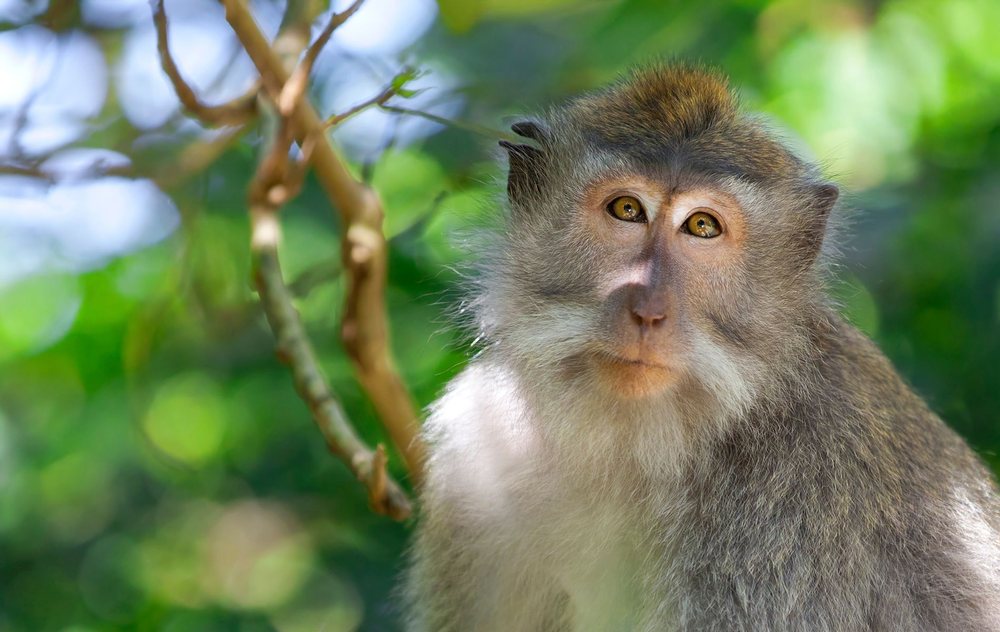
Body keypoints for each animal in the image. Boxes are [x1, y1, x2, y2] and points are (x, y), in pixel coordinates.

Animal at [403, 63, 1000, 631]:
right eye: (627, 210)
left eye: (702, 226)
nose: (648, 308)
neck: (636, 449)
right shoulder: (475, 462)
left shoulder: (791, 507)